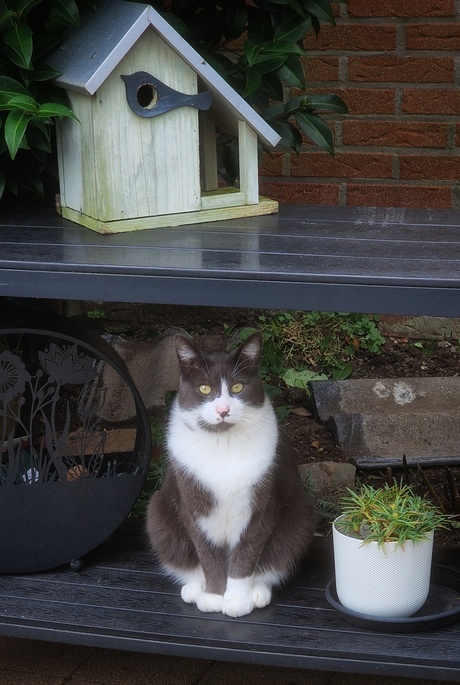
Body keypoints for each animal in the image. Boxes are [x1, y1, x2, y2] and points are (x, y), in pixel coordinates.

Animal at [147, 328, 316, 616]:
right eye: (204, 388)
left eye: (237, 387)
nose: (223, 410)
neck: (222, 443)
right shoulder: (193, 505)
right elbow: (207, 553)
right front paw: (215, 596)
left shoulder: (260, 506)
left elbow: (247, 552)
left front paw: (237, 599)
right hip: (159, 512)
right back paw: (195, 588)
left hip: (299, 519)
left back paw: (258, 591)